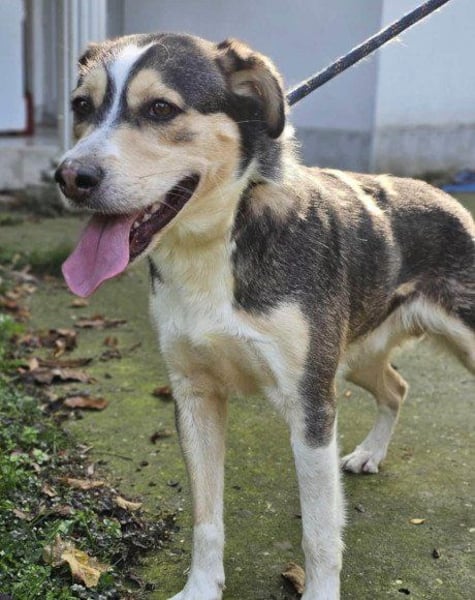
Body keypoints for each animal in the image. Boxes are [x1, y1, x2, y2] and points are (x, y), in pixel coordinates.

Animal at [54, 33, 475, 599]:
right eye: (81, 106)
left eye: (161, 108)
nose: (70, 177)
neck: (220, 239)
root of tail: (445, 197)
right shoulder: (195, 395)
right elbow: (206, 517)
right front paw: (201, 587)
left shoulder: (311, 404)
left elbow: (320, 532)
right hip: (354, 354)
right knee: (396, 387)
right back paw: (370, 453)